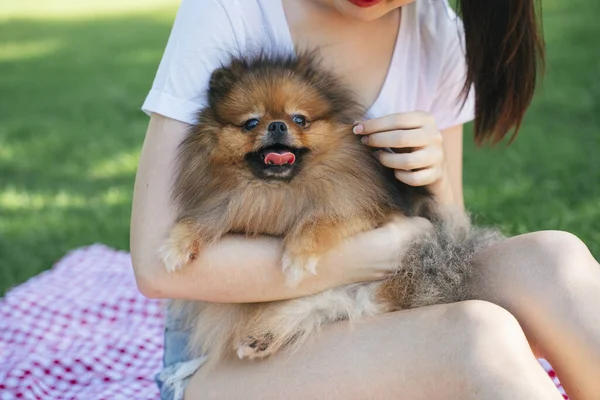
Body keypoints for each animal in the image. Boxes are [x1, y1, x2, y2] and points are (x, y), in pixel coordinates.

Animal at [159, 48, 502, 368]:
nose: (277, 125)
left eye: (300, 119)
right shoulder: (228, 205)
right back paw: (260, 339)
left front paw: (298, 255)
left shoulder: (359, 207)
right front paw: (176, 246)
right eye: (251, 123)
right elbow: (202, 220)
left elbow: (321, 219)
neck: (279, 192)